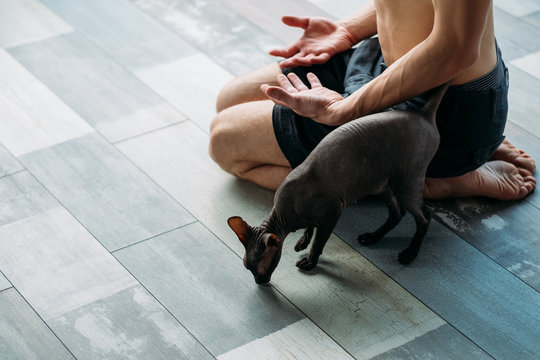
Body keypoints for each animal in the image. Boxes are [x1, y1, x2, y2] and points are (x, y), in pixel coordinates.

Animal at [230, 81, 450, 284]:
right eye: (248, 267)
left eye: (261, 267)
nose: (259, 281)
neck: (285, 215)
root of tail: (423, 113)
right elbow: (310, 228)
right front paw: (303, 240)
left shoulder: (333, 212)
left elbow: (319, 241)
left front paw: (310, 261)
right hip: (380, 183)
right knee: (397, 213)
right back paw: (372, 237)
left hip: (407, 181)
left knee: (425, 216)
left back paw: (409, 253)